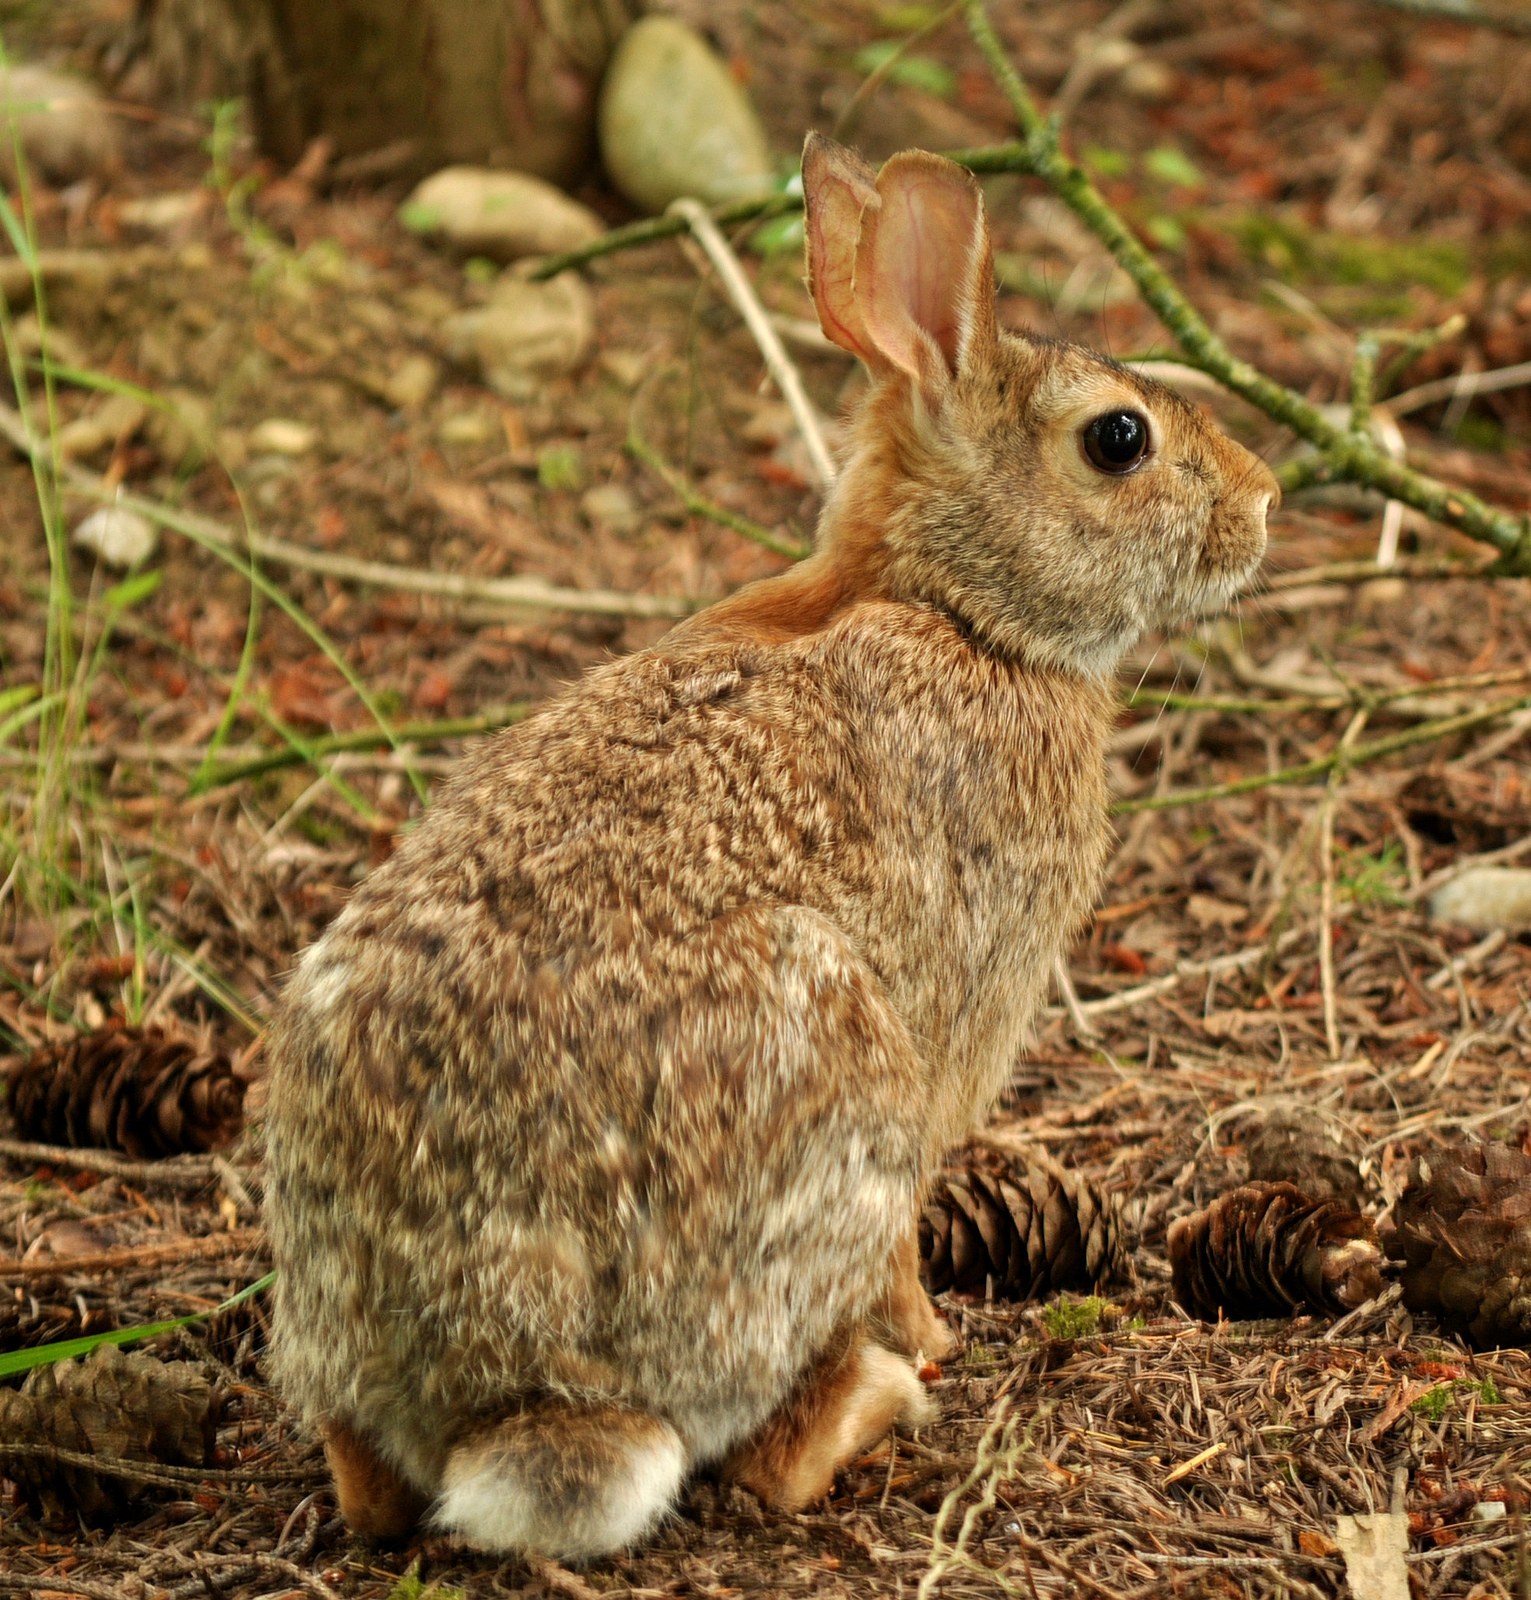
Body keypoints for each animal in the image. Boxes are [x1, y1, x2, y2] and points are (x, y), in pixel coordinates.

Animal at [263, 131, 1277, 1562]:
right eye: (1117, 439)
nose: (1267, 501)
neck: (961, 612)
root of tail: (498, 1381)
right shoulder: (948, 1039)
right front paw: (935, 1332)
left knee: (365, 1475)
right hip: (838, 1090)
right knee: (759, 1456)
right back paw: (879, 1393)